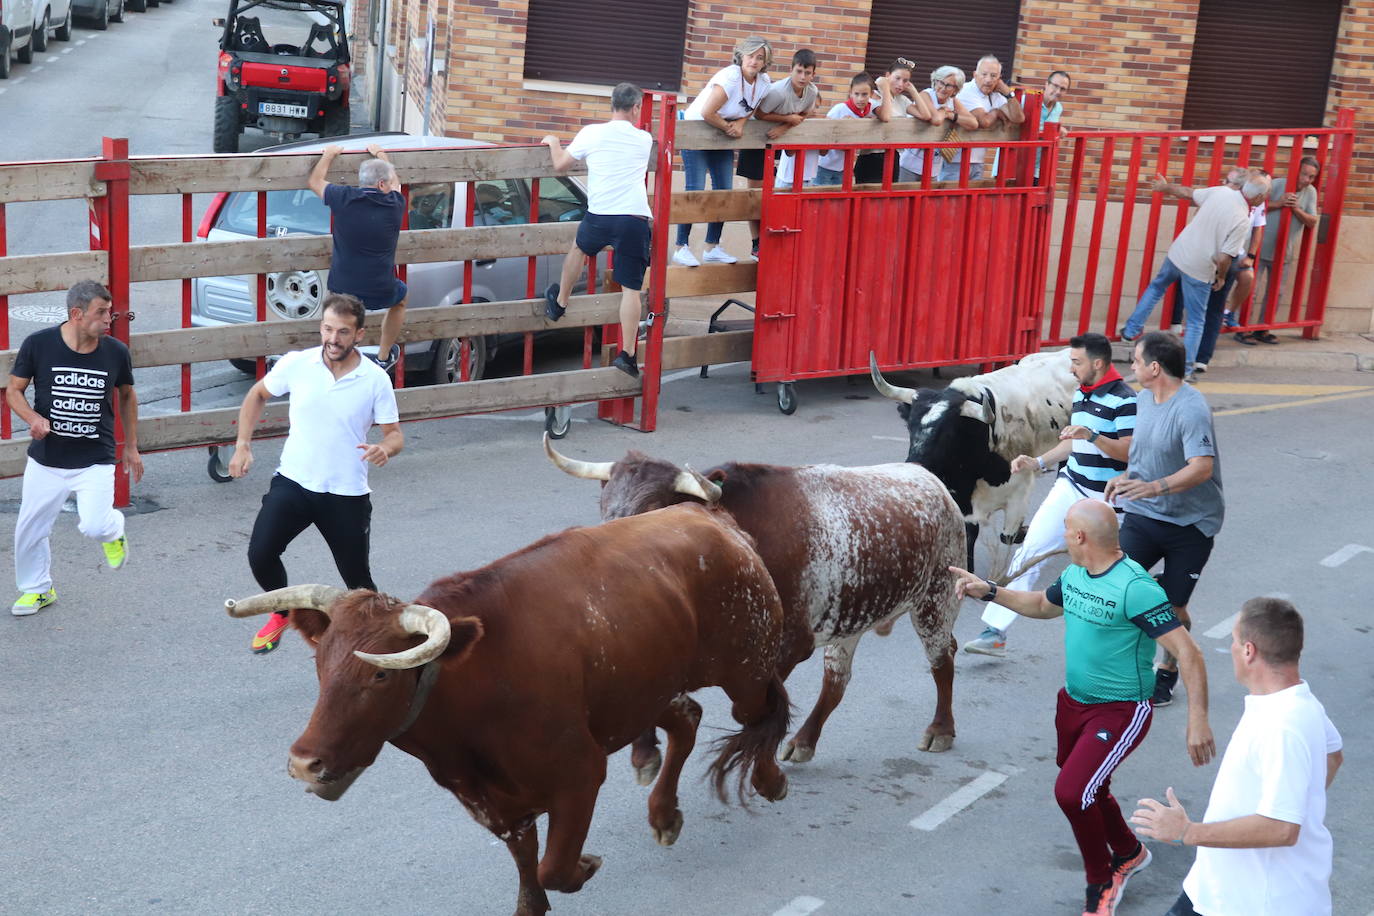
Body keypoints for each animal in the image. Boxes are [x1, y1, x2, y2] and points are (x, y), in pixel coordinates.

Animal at [226, 505, 802, 911]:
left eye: (380, 674)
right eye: (320, 664)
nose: (305, 762)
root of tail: (712, 517)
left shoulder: (579, 775)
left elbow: (554, 867)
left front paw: (585, 864)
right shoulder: (497, 805)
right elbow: (530, 875)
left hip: (742, 669)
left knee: (763, 712)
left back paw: (771, 779)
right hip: (645, 689)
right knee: (687, 717)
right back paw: (665, 815)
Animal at [546, 433, 967, 780]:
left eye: (654, 507)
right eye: (605, 506)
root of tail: (930, 480)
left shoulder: (789, 643)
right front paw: (645, 753)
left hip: (935, 599)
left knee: (942, 659)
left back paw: (940, 730)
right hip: (853, 617)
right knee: (836, 680)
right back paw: (803, 742)